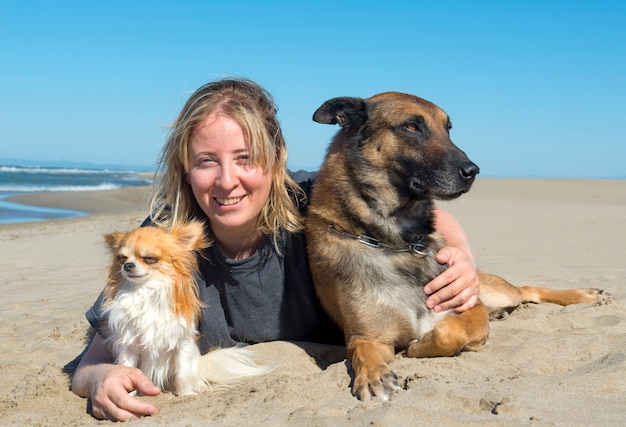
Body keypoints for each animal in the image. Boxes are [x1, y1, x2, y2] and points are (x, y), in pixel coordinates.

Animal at [304, 92, 604, 402]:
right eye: (411, 126)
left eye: (448, 129)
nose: (473, 171)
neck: (394, 241)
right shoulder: (368, 336)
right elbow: (362, 351)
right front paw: (374, 375)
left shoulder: (468, 306)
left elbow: (451, 332)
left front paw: (420, 346)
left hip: (492, 289)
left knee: (527, 289)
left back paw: (583, 294)